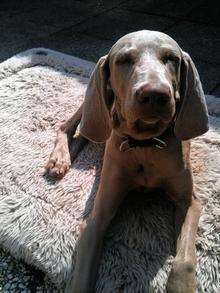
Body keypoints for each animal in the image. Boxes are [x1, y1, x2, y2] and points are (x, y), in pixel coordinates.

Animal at [45, 30, 208, 292]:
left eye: (171, 58)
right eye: (123, 60)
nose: (154, 94)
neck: (145, 145)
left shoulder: (189, 202)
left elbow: (184, 259)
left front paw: (182, 285)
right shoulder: (97, 217)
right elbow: (82, 276)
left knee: (86, 135)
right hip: (94, 102)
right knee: (69, 126)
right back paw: (58, 160)